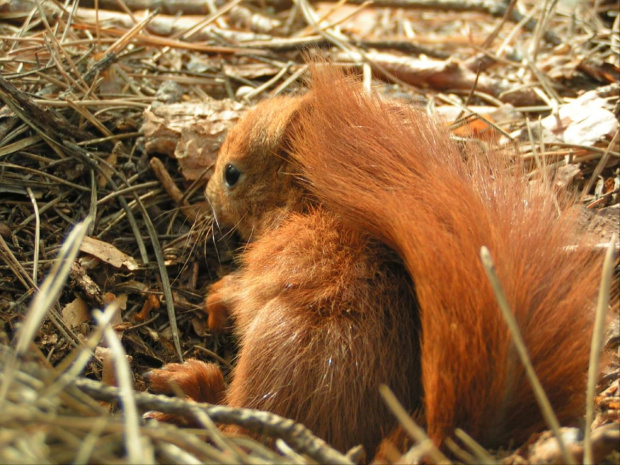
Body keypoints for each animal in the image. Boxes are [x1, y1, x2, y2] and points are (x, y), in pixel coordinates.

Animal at [144, 63, 600, 454]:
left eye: (232, 174)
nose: (207, 198)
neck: (303, 204)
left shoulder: (274, 265)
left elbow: (242, 294)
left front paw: (217, 298)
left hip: (277, 344)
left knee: (239, 428)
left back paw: (190, 390)